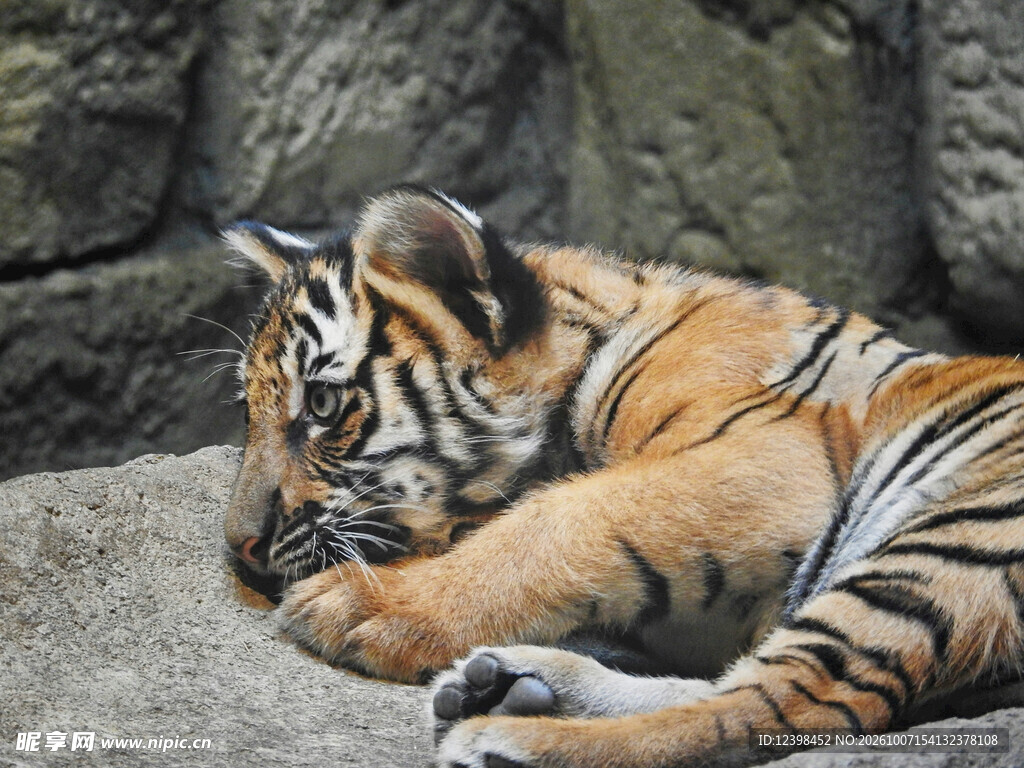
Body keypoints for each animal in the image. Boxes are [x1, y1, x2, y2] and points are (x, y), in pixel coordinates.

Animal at [223, 185, 1024, 768]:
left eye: (322, 405)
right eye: (246, 413)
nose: (238, 546)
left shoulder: (771, 454)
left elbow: (565, 516)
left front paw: (366, 605)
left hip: (959, 534)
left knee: (797, 702)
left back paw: (513, 740)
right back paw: (512, 686)